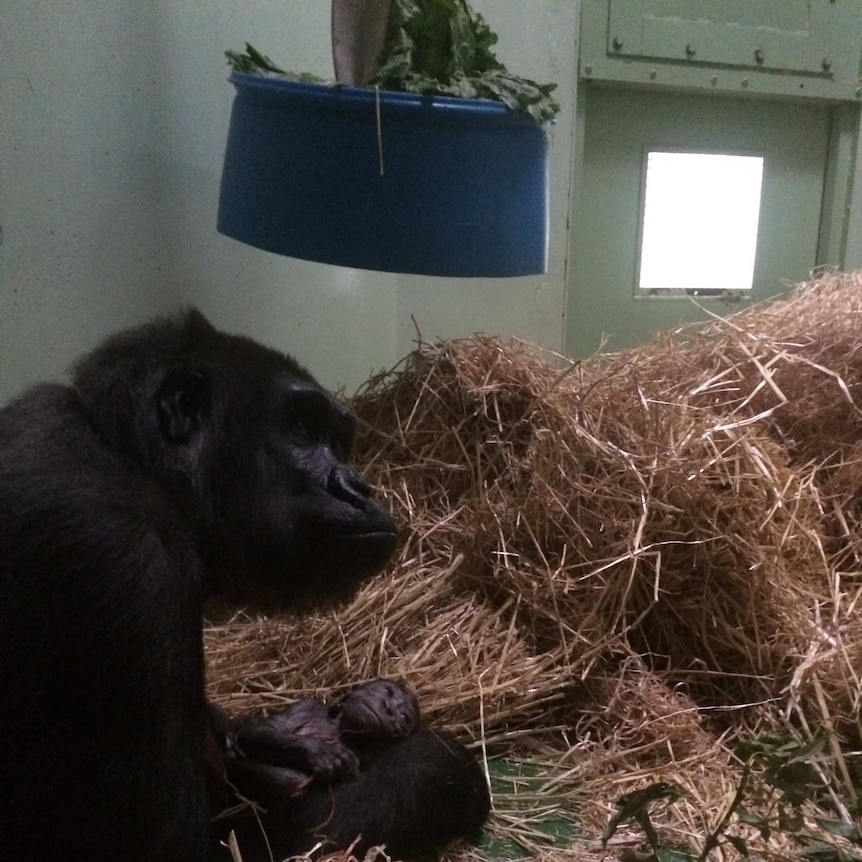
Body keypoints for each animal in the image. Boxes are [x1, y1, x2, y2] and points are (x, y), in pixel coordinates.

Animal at [215, 684, 490, 860]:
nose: (389, 708)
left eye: (403, 716)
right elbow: (259, 731)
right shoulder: (306, 706)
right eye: (388, 692)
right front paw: (318, 753)